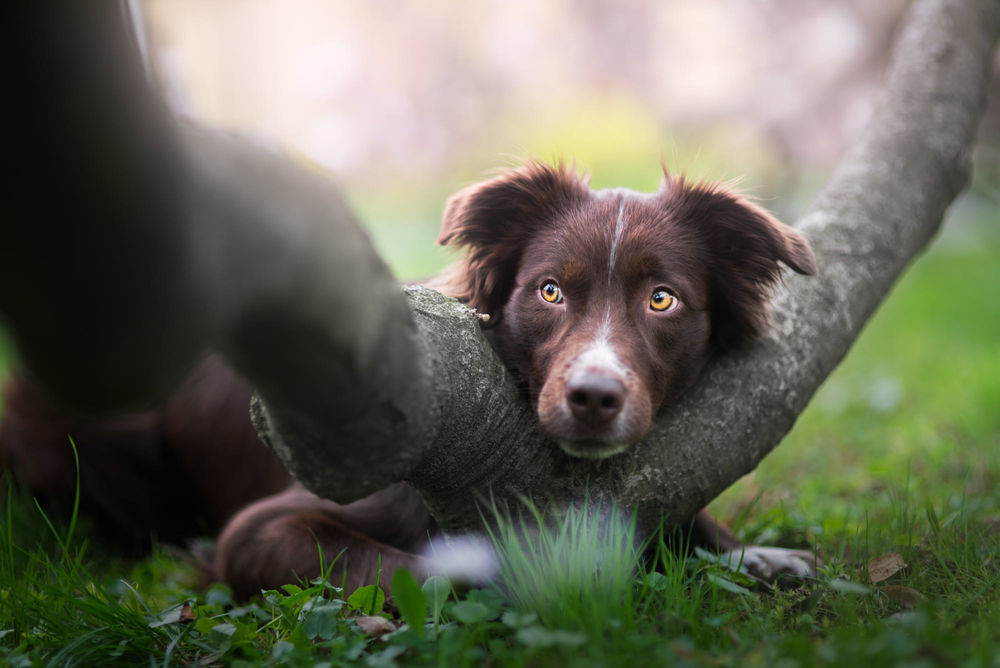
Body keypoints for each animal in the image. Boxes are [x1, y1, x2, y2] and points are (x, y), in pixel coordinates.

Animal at [1, 163, 820, 600]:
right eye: (550, 290)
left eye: (663, 300)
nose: (593, 397)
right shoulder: (260, 531)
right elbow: (414, 566)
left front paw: (757, 554)